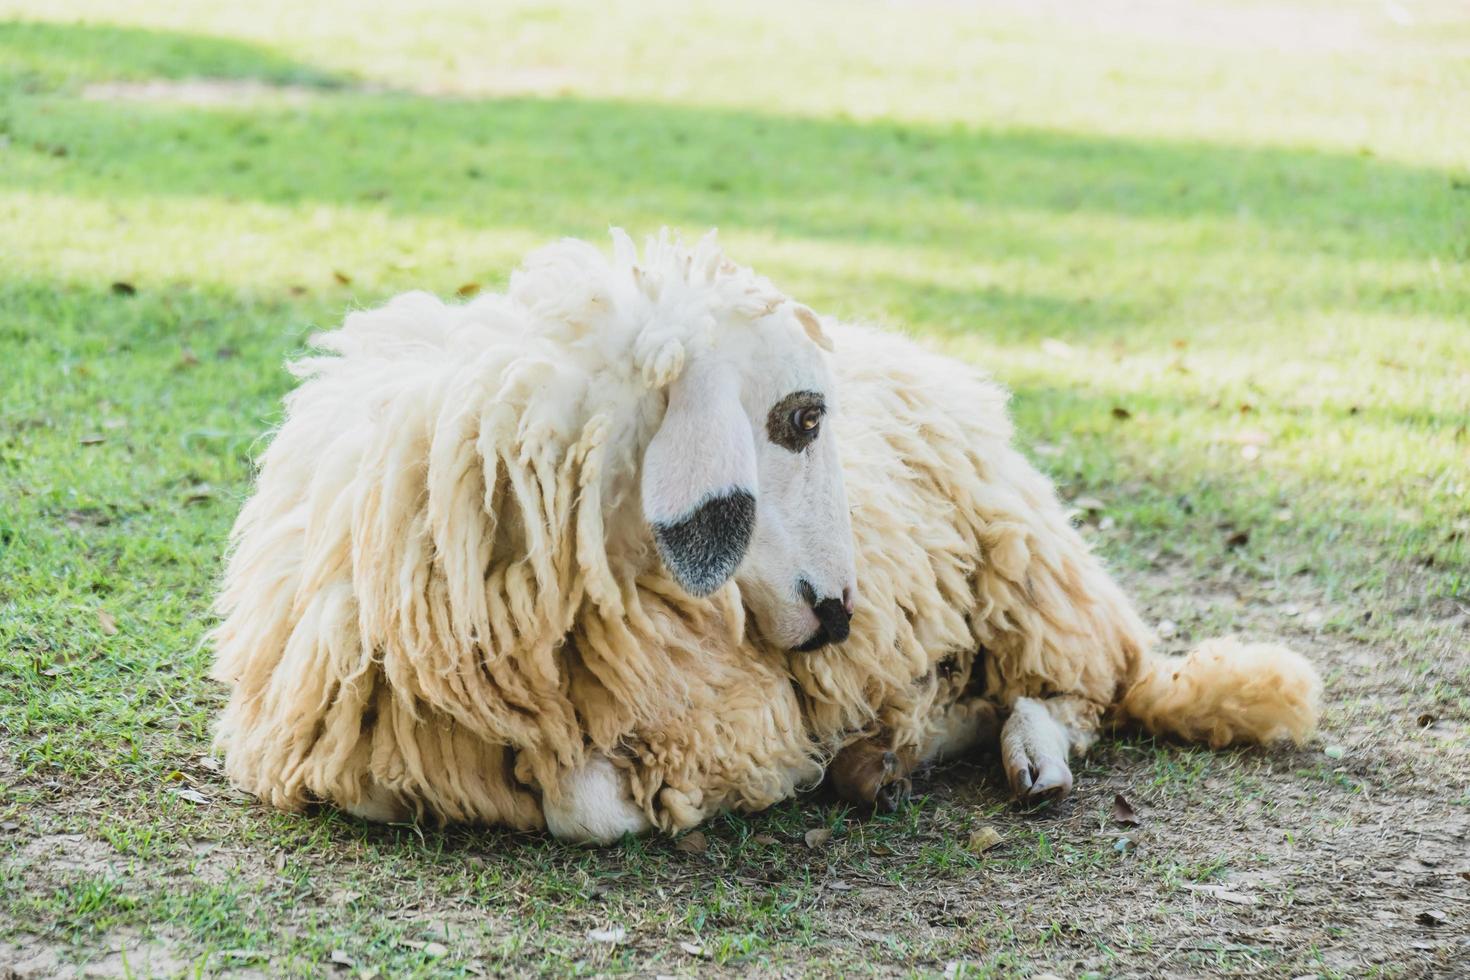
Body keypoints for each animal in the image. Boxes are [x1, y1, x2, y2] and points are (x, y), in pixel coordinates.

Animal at [213, 232, 1328, 846]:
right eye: (798, 418)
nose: (841, 614)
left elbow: (594, 805)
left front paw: (737, 782)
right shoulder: (366, 765)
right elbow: (575, 799)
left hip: (1030, 575)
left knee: (1078, 686)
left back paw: (1013, 754)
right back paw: (891, 751)